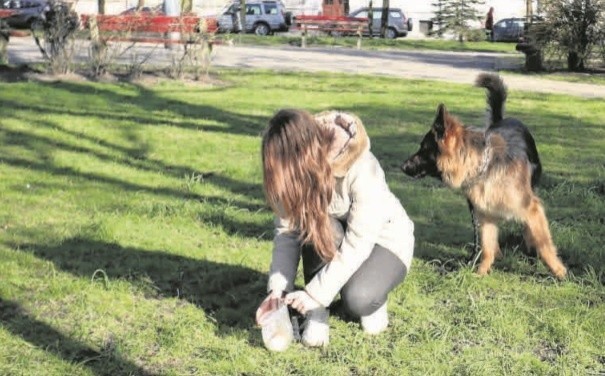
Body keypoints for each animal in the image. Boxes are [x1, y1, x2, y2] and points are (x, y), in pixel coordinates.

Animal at [402, 73, 568, 280]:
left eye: (424, 150)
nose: (402, 166)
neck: (484, 167)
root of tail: (505, 119)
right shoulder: (484, 214)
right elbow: (487, 247)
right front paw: (480, 272)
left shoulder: (531, 208)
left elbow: (544, 244)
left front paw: (558, 271)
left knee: (530, 230)